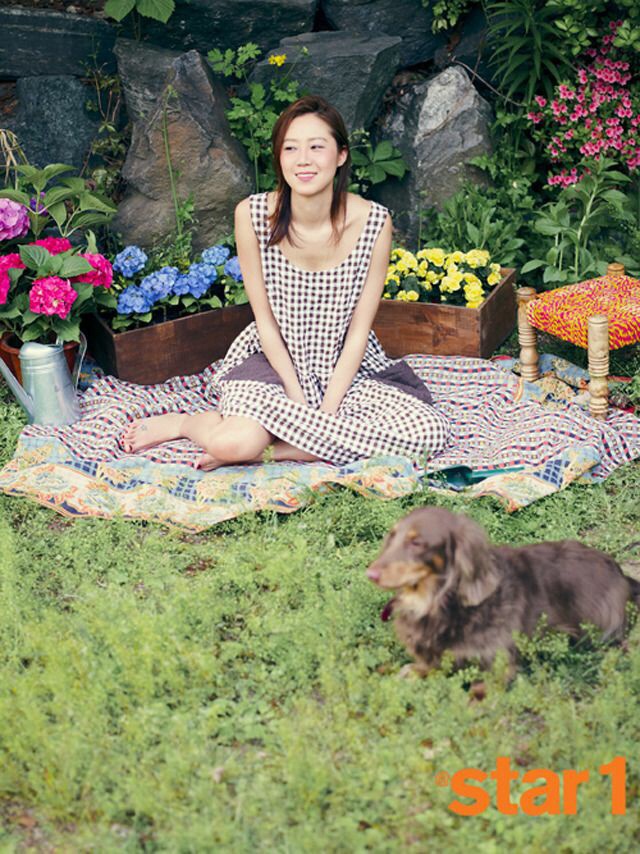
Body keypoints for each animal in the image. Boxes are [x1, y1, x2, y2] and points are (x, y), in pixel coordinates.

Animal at [364, 504, 640, 680]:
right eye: (392, 537)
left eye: (417, 542)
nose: (371, 573)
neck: (437, 602)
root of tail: (621, 575)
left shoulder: (498, 662)